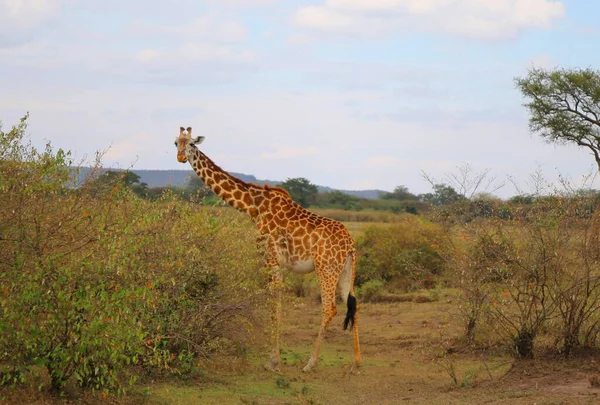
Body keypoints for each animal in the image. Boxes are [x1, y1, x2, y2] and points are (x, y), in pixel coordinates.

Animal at [173, 125, 360, 372]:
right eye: (176, 143)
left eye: (193, 143)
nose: (181, 157)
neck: (253, 206)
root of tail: (351, 245)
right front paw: (273, 358)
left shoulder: (270, 258)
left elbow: (274, 305)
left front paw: (273, 361)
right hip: (346, 271)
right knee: (354, 304)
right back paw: (356, 363)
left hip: (326, 268)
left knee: (330, 308)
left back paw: (310, 363)